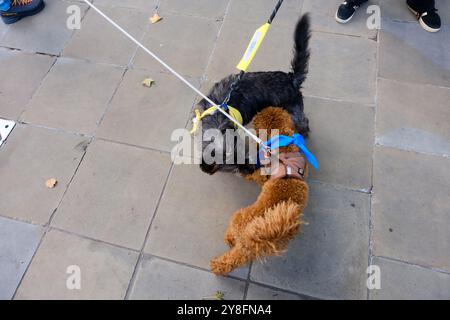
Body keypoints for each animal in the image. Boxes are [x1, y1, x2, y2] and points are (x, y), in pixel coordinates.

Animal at [199, 13, 312, 175]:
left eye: (244, 151)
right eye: (234, 168)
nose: (252, 168)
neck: (218, 116)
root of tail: (291, 78)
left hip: (293, 111)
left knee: (303, 122)